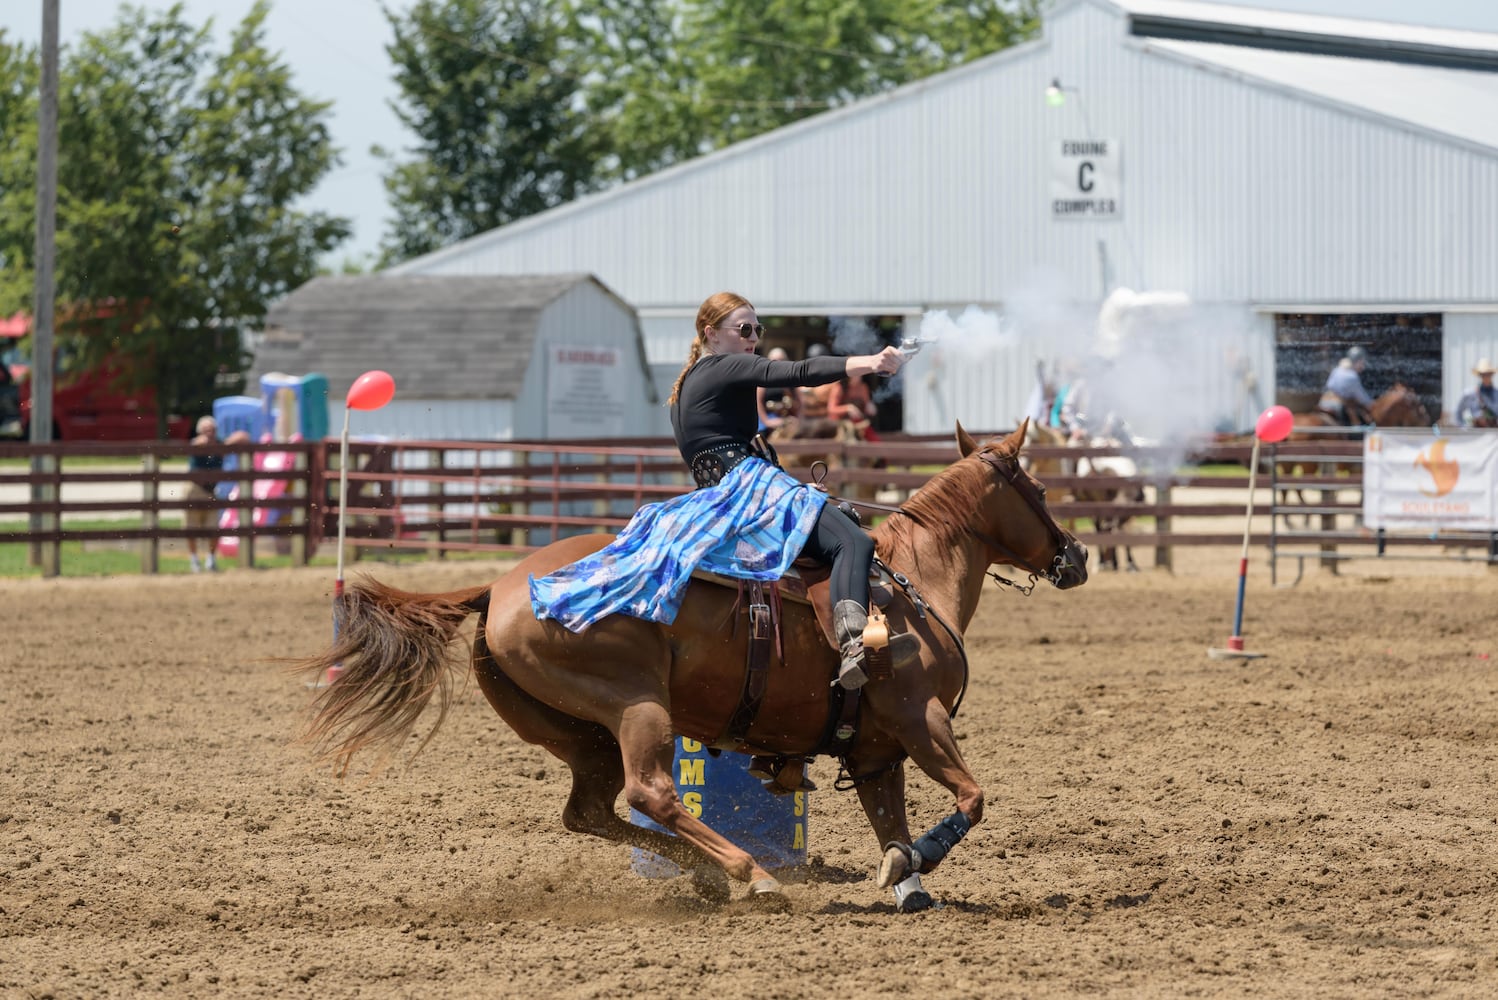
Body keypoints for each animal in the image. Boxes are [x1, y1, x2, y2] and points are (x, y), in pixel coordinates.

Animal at [295, 419, 1090, 916]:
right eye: (1041, 489)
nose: (1077, 556)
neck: (910, 582)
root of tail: (498, 587)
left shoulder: (873, 750)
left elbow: (890, 823)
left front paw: (908, 880)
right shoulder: (920, 723)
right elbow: (972, 799)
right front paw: (915, 862)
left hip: (579, 735)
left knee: (589, 812)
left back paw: (708, 875)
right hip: (636, 707)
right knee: (651, 793)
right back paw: (751, 875)